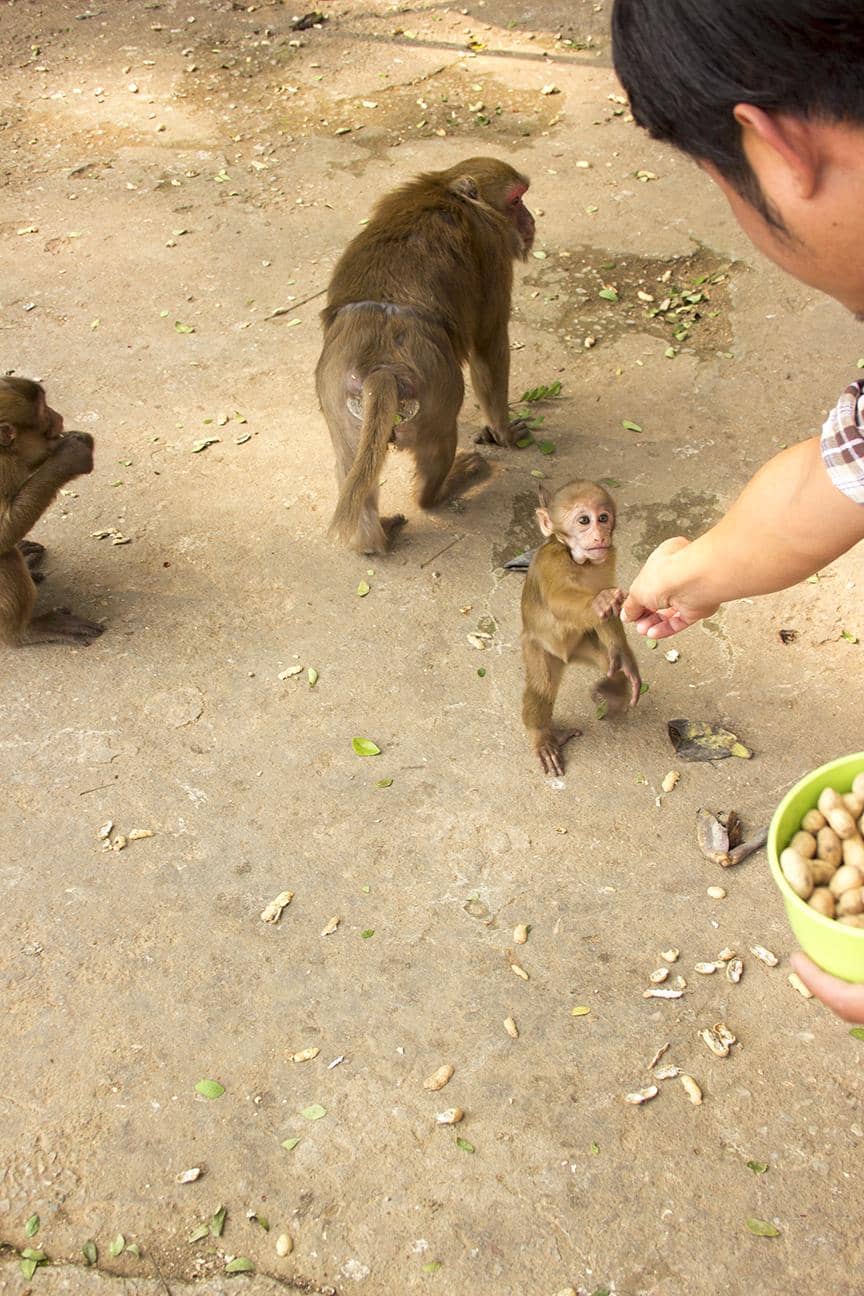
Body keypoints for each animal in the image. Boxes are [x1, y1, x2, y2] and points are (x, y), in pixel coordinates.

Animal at [315, 156, 536, 554]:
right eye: (516, 200)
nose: (530, 220)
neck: (447, 188)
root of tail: (381, 368)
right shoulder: (494, 245)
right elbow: (489, 343)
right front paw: (506, 432)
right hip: (437, 392)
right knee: (440, 441)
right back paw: (441, 490)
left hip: (338, 396)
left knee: (351, 459)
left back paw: (370, 538)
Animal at [520, 479, 641, 776]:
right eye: (584, 520)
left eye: (604, 518)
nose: (600, 536)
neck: (580, 561)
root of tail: (567, 658)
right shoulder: (553, 561)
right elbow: (559, 599)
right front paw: (601, 600)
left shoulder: (608, 559)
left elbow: (606, 615)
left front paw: (625, 657)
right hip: (538, 649)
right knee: (542, 685)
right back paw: (543, 736)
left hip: (585, 645)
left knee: (608, 661)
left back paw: (613, 689)